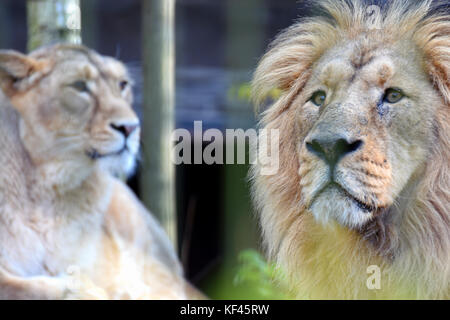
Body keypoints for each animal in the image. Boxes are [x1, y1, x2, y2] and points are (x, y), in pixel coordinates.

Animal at [0, 43, 190, 298]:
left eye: (122, 84)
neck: (47, 190)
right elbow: (22, 286)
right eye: (79, 86)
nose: (130, 127)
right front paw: (80, 288)